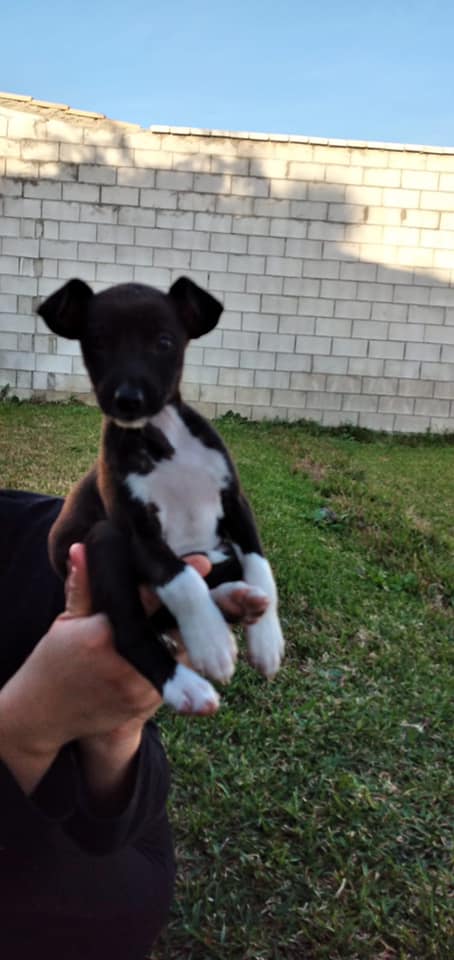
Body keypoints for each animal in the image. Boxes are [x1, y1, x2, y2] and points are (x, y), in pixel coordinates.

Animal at [38, 277, 284, 714]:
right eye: (97, 342)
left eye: (165, 342)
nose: (128, 399)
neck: (162, 437)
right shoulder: (137, 532)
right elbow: (181, 579)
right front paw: (211, 642)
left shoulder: (236, 503)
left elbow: (260, 566)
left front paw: (267, 640)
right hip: (103, 538)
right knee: (134, 630)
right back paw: (184, 683)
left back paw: (235, 599)